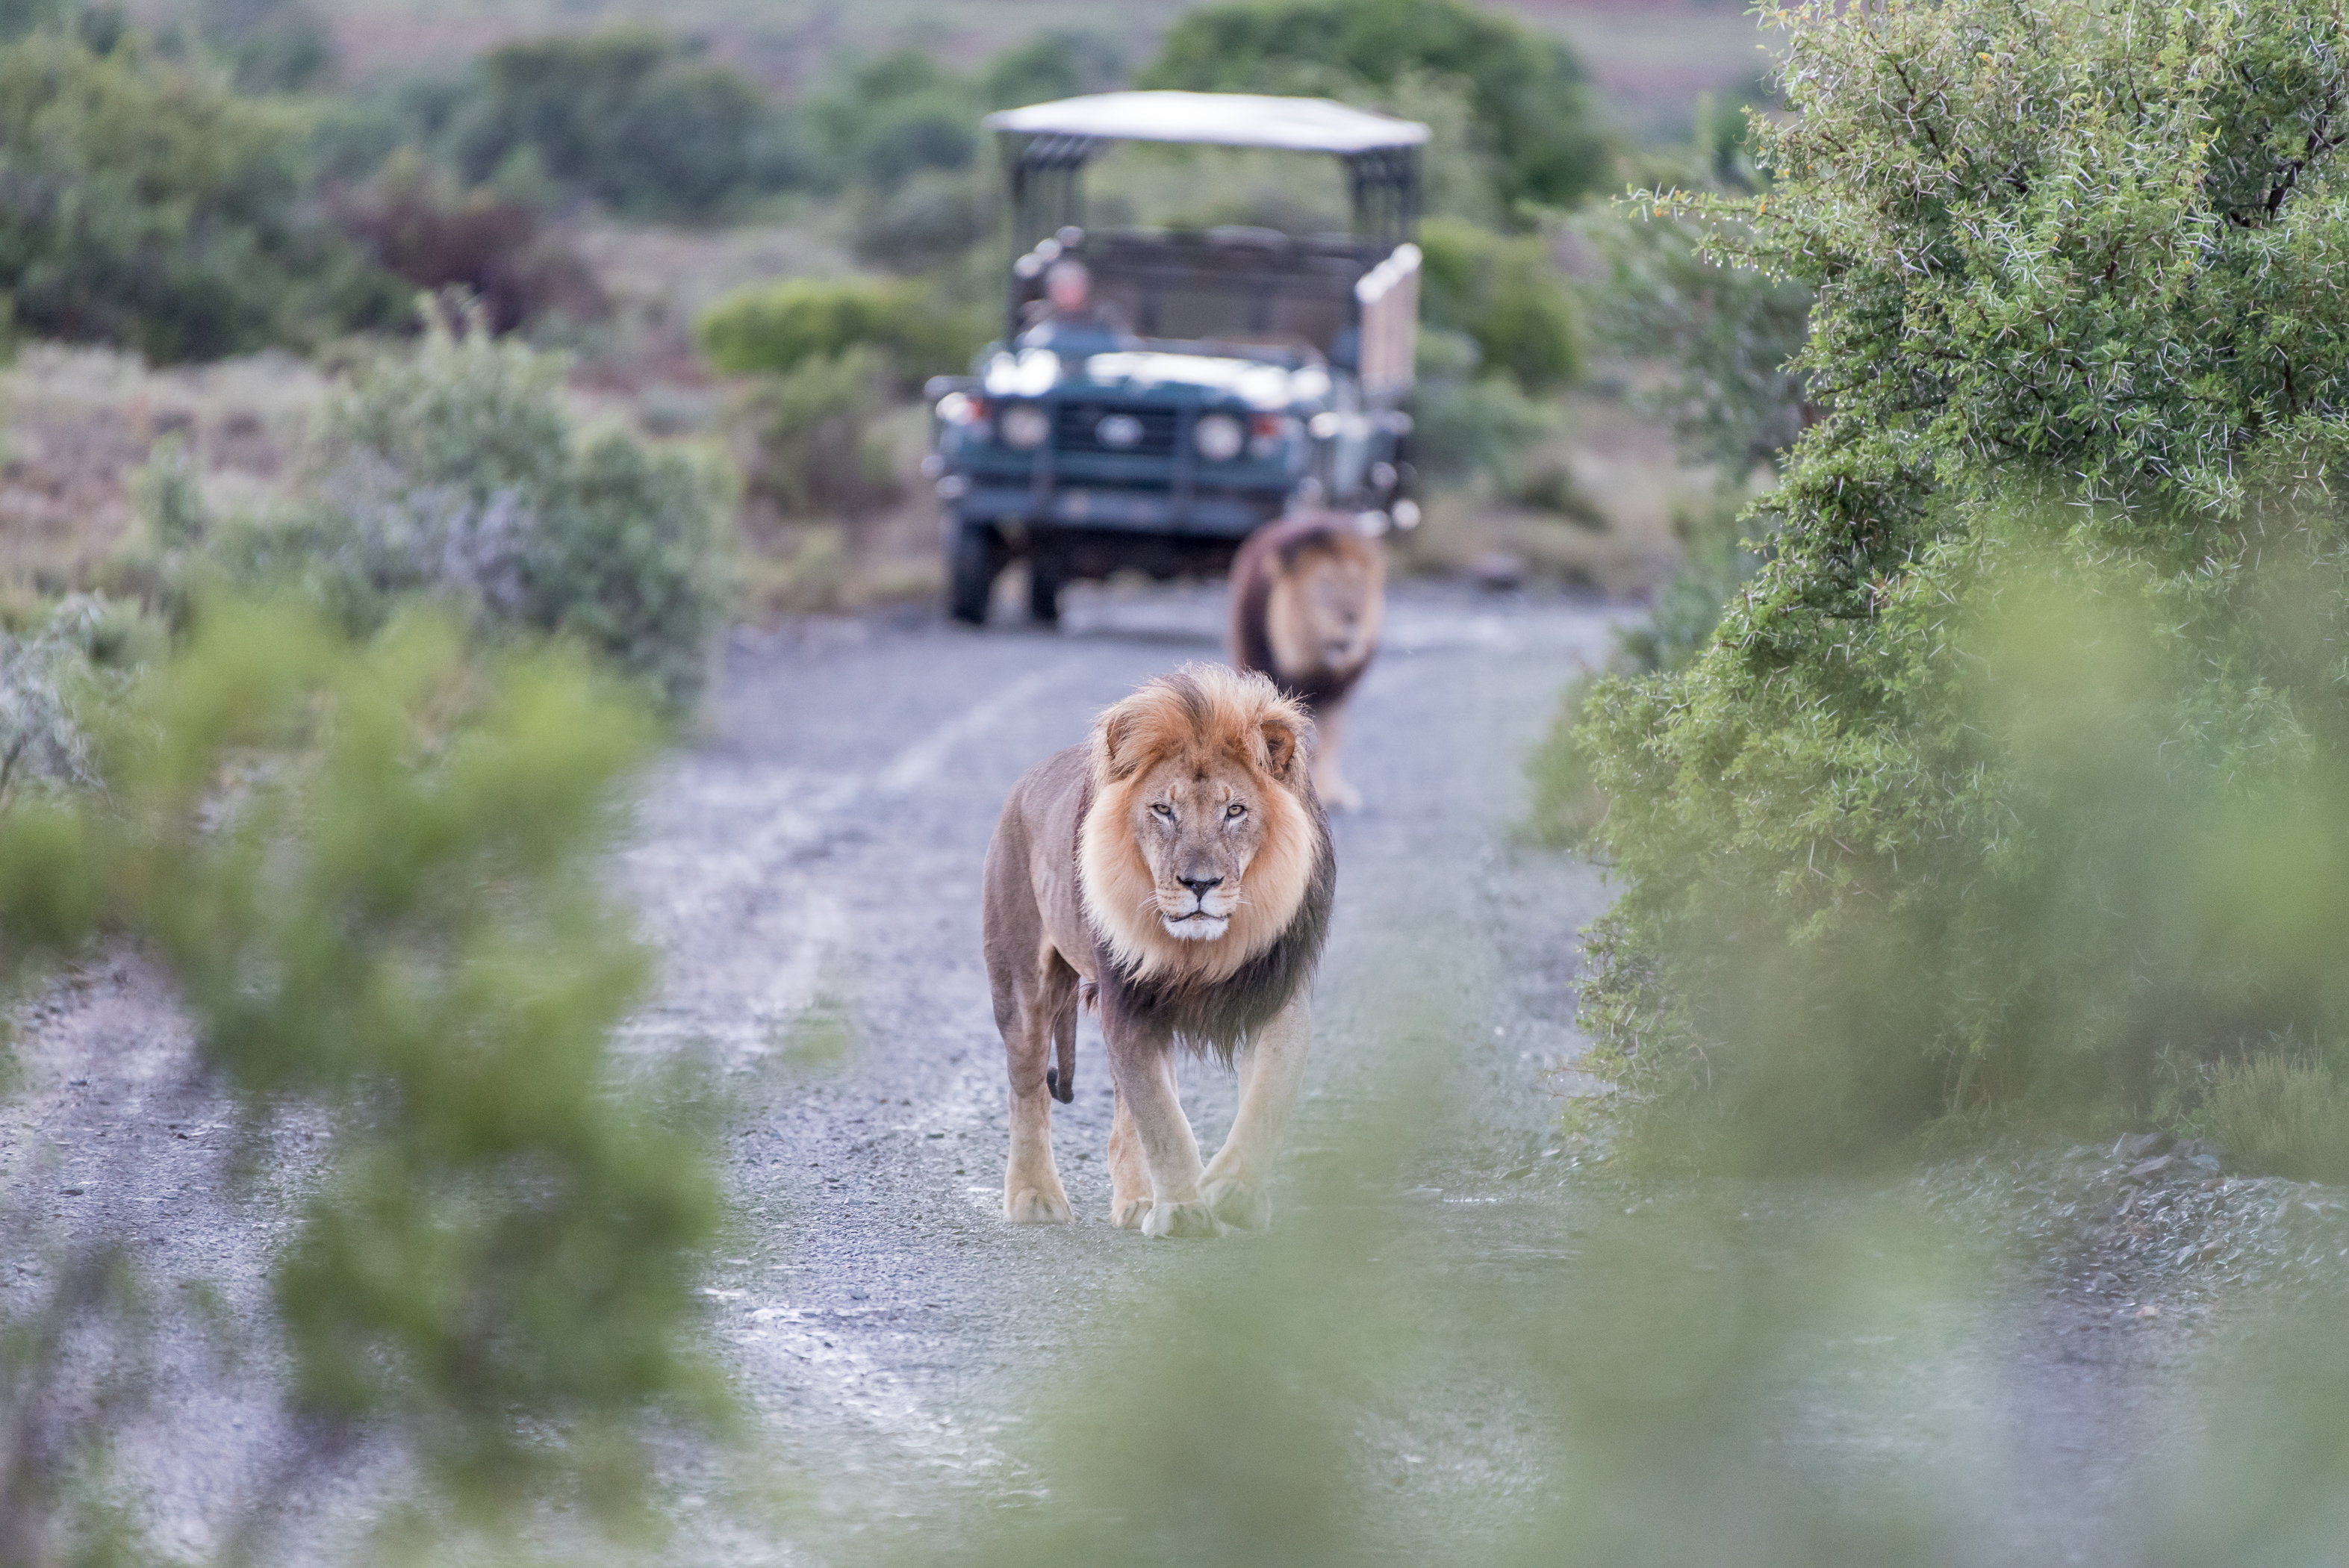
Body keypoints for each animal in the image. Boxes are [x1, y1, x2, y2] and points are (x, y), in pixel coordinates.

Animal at [980, 663, 1334, 1237]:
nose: (1200, 884)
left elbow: (1266, 1101)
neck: (1204, 951)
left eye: (1235, 810)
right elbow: (1163, 1122)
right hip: (1020, 985)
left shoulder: (1278, 996)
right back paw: (1036, 1198)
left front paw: (1230, 1193)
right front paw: (1185, 1211)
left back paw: (1138, 1201)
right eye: (1164, 810)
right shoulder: (1130, 1004)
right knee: (1028, 1087)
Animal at [1228, 510, 1385, 811]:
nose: (1353, 617)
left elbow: (1331, 742)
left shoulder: (1338, 694)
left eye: (1357, 585)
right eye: (1326, 586)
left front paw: (1331, 793)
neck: (1317, 668)